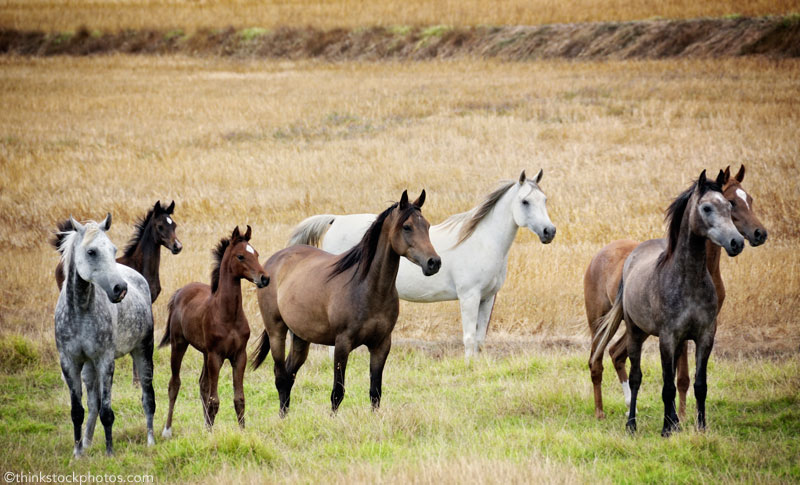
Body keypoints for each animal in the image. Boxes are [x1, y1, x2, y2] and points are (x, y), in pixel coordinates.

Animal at [53, 214, 156, 457]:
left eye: (113, 249)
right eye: (91, 252)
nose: (120, 289)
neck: (80, 311)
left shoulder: (105, 361)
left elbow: (107, 412)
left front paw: (110, 453)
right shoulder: (70, 362)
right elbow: (77, 411)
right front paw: (77, 453)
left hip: (143, 351)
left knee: (148, 398)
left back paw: (151, 441)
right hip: (88, 368)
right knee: (92, 404)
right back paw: (87, 443)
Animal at [159, 226, 268, 436]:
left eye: (257, 254)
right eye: (241, 256)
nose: (264, 278)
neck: (228, 315)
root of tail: (180, 292)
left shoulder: (239, 356)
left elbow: (239, 399)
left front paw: (240, 432)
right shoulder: (216, 356)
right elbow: (214, 400)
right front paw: (210, 433)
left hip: (204, 353)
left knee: (202, 384)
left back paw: (205, 425)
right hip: (180, 344)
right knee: (174, 384)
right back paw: (167, 430)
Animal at [252, 190, 440, 416]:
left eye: (427, 226)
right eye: (407, 226)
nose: (434, 262)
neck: (368, 288)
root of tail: (273, 262)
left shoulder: (381, 344)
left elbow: (375, 392)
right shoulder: (342, 344)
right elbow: (337, 393)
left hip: (300, 338)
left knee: (289, 375)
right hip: (276, 332)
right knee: (281, 377)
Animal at [287, 171, 555, 359]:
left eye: (544, 199)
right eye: (525, 202)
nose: (549, 232)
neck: (482, 241)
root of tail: (335, 220)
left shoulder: (487, 298)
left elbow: (479, 339)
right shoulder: (469, 296)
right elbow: (469, 338)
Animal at [584, 165, 767, 420]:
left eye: (749, 199)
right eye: (732, 202)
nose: (759, 234)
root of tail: (600, 254)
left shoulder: (703, 327)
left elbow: (682, 377)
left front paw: (681, 416)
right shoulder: (676, 332)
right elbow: (681, 378)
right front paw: (679, 416)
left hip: (638, 327)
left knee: (616, 353)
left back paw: (632, 406)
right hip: (599, 321)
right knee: (596, 360)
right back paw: (600, 412)